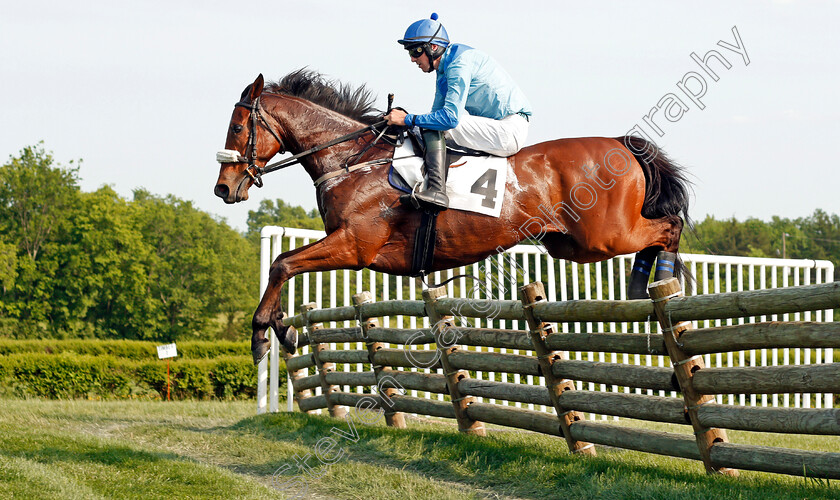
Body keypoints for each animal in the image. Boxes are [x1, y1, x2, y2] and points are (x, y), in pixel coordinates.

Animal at [215, 69, 688, 364]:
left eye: (237, 128)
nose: (223, 188)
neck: (353, 160)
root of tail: (622, 144)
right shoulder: (347, 244)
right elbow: (284, 265)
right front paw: (283, 329)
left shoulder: (355, 246)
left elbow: (282, 264)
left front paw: (262, 335)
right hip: (569, 244)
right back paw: (641, 289)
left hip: (602, 235)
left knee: (669, 227)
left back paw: (659, 284)